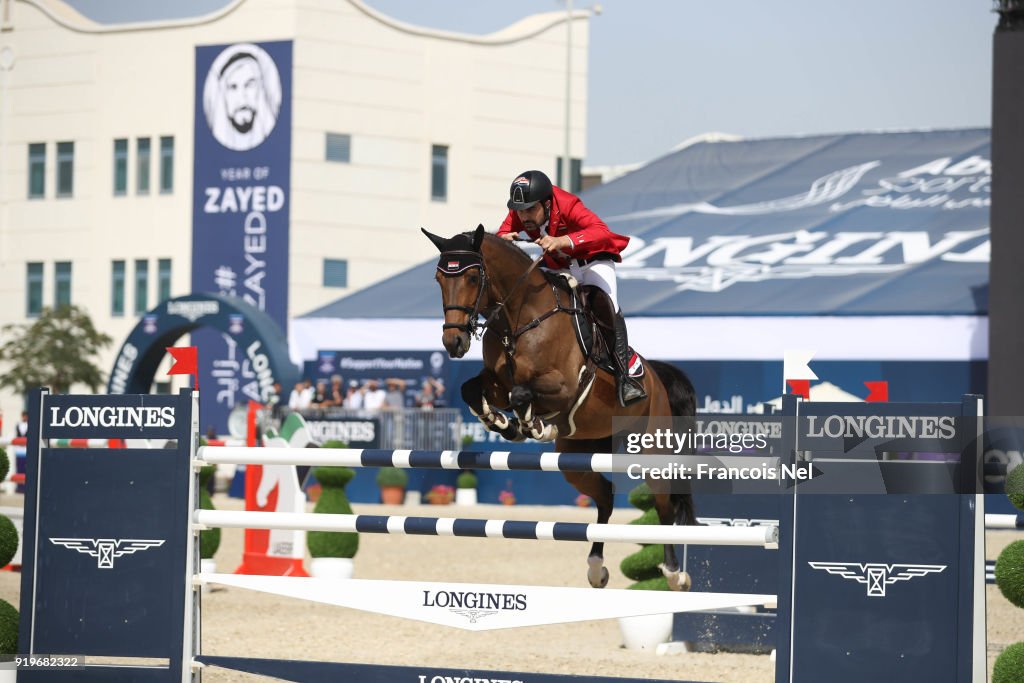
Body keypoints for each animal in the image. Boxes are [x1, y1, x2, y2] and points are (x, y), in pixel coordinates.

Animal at [419, 227, 700, 589]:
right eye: (439, 278)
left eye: (471, 276)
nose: (453, 342)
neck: (519, 319)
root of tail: (657, 376)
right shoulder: (496, 383)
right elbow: (474, 390)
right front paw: (501, 423)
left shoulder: (564, 387)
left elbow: (522, 394)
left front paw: (532, 425)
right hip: (579, 456)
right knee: (605, 496)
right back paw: (596, 568)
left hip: (653, 451)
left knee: (664, 506)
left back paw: (674, 573)